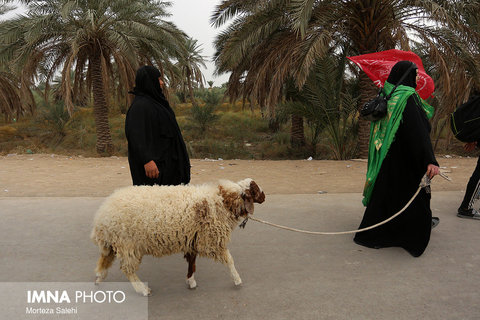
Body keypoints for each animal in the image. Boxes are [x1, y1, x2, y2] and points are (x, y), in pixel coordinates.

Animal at [90, 178, 266, 296]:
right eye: (255, 190)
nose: (264, 196)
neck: (223, 201)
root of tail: (101, 217)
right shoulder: (211, 241)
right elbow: (229, 261)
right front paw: (237, 280)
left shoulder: (193, 238)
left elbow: (192, 262)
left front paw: (191, 281)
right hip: (128, 245)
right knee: (127, 269)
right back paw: (142, 289)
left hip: (113, 244)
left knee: (104, 260)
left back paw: (99, 278)